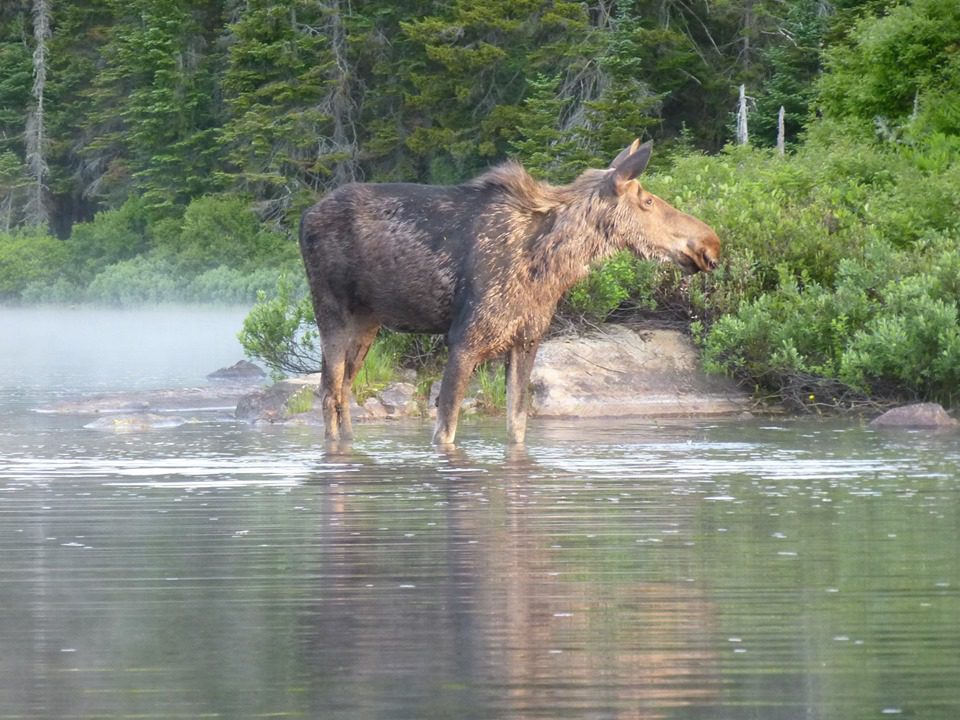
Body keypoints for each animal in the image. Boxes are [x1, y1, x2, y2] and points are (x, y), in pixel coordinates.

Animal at [300, 140, 720, 444]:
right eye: (647, 200)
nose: (710, 243)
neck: (552, 268)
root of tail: (305, 219)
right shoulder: (465, 339)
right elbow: (445, 431)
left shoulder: (527, 340)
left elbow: (516, 426)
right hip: (331, 310)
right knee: (329, 391)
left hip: (368, 322)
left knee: (343, 391)